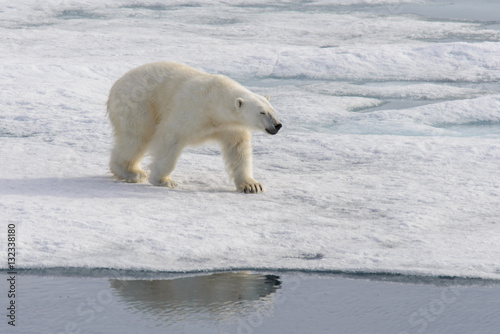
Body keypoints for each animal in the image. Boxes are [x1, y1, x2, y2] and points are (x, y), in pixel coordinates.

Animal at [106, 62, 282, 193]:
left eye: (273, 110)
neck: (214, 101)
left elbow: (238, 149)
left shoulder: (230, 126)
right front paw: (164, 180)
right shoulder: (191, 109)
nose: (277, 125)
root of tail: (116, 85)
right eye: (262, 112)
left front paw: (251, 185)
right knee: (136, 137)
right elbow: (170, 138)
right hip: (138, 104)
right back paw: (133, 172)